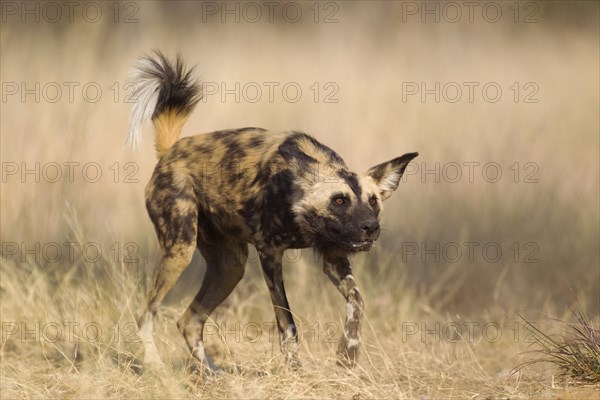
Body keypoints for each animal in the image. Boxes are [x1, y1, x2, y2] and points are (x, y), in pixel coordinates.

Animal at [126, 50, 418, 372]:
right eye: (339, 201)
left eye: (373, 201)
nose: (370, 227)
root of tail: (171, 151)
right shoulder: (270, 254)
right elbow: (287, 324)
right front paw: (295, 370)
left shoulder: (334, 256)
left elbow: (357, 301)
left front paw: (347, 354)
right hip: (180, 250)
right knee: (146, 313)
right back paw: (155, 365)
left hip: (230, 267)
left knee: (189, 321)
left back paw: (213, 374)